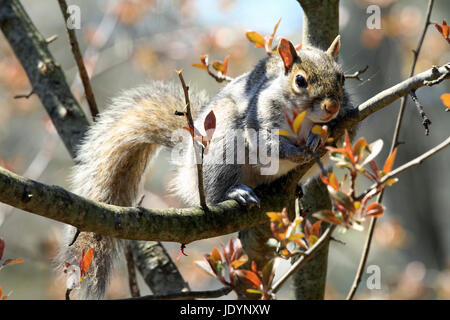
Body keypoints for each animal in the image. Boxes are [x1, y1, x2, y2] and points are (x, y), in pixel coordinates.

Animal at [57, 35, 352, 300]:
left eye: (342, 78)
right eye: (300, 81)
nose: (331, 106)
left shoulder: (346, 120)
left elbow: (339, 138)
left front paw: (317, 137)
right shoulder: (260, 117)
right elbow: (267, 143)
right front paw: (295, 150)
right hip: (222, 146)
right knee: (214, 191)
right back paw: (235, 192)